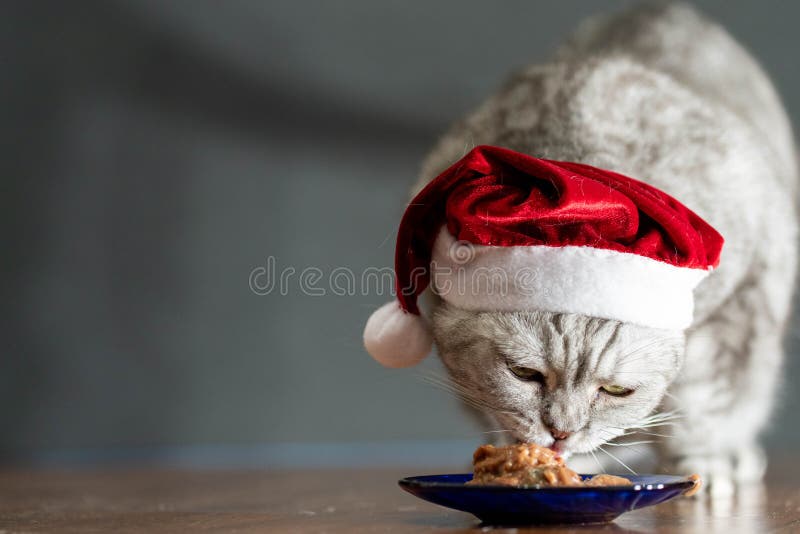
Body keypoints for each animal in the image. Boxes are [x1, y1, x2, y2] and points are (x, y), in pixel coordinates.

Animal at [416, 3, 796, 498]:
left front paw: (706, 463)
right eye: (524, 374)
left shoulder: (742, 306)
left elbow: (707, 403)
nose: (560, 433)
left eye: (616, 392)